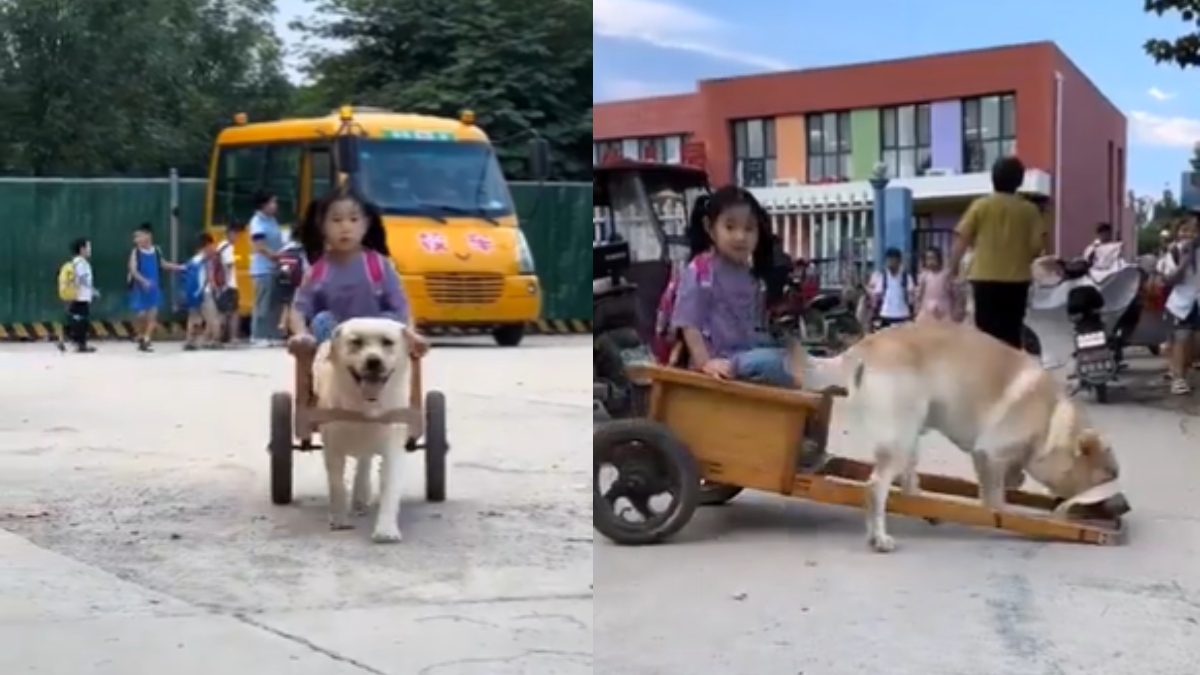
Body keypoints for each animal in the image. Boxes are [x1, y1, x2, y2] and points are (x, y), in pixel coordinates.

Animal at [314, 314, 412, 540]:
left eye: (387, 342)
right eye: (356, 342)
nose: (373, 361)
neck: (365, 406)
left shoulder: (392, 444)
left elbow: (390, 484)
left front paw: (386, 530)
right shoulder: (332, 447)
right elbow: (337, 484)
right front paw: (339, 518)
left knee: (365, 462)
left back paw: (360, 497)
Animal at [787, 321, 1123, 552]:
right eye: (1106, 477)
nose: (1121, 505)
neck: (1052, 420)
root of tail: (862, 347)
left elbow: (1010, 479)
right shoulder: (989, 453)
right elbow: (996, 501)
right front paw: (1007, 515)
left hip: (910, 431)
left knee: (906, 478)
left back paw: (921, 503)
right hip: (901, 433)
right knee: (876, 486)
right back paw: (879, 536)